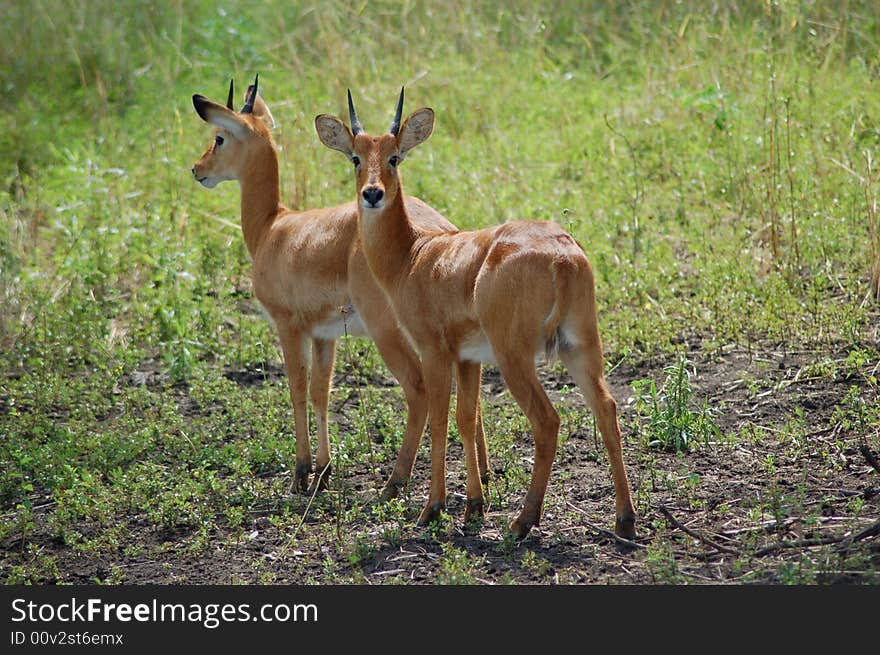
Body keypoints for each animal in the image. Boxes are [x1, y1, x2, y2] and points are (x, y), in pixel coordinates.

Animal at [191, 77, 488, 498]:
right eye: (354, 158)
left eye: (219, 137)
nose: (197, 169)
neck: (271, 227)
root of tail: (442, 232)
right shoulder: (324, 334)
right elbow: (321, 391)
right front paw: (323, 469)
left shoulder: (288, 325)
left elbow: (297, 388)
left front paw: (301, 473)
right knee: (471, 401)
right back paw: (485, 478)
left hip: (387, 330)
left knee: (418, 390)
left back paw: (395, 482)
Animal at [312, 89, 636, 540]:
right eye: (355, 157)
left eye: (394, 156)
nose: (372, 194)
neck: (414, 256)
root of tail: (562, 255)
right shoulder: (469, 359)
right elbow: (466, 418)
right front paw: (474, 506)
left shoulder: (434, 351)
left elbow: (438, 418)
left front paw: (432, 508)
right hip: (580, 346)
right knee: (606, 408)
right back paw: (625, 520)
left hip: (515, 356)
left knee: (547, 421)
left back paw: (523, 521)